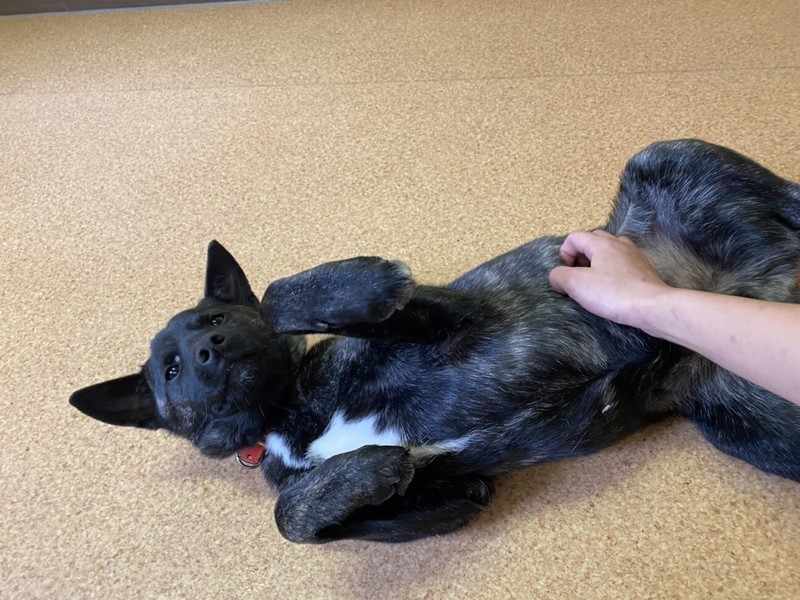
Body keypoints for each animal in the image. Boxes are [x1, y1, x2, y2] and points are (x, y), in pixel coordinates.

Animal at [70, 140, 800, 543]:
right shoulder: (459, 497)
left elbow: (280, 297)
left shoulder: (452, 311)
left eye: (219, 322)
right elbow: (294, 515)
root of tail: (770, 273)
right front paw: (366, 470)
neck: (287, 415)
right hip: (752, 421)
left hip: (662, 155)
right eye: (169, 371)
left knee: (788, 191)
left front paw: (365, 282)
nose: (208, 353)